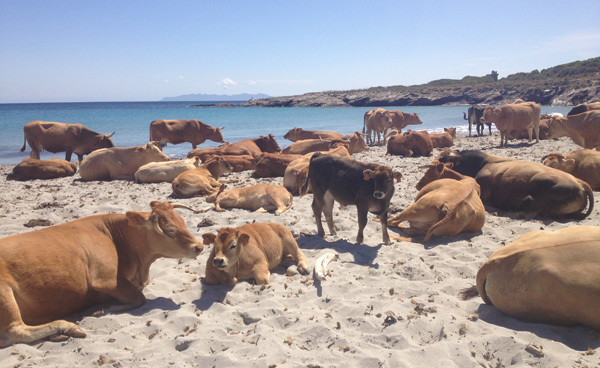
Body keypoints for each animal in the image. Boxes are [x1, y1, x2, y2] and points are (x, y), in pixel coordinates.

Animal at [0, 200, 203, 346]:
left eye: (183, 222)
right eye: (170, 230)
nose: (199, 246)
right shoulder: (106, 280)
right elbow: (139, 298)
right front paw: (104, 309)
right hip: (4, 293)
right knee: (17, 330)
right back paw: (67, 327)